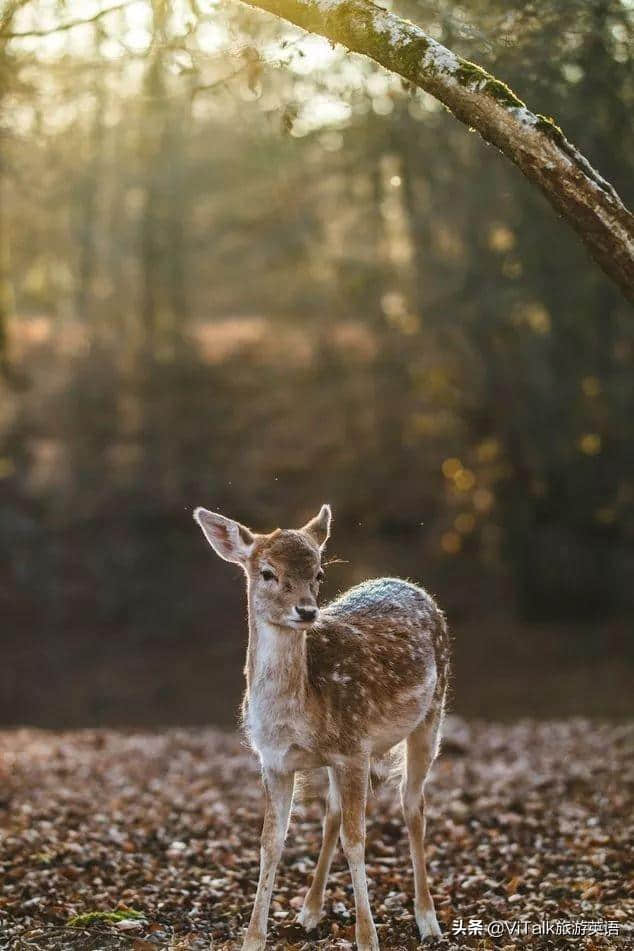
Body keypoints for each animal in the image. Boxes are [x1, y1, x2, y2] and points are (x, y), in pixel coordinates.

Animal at [194, 502, 450, 948]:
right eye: (267, 572)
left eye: (319, 574)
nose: (307, 610)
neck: (295, 717)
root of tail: (412, 586)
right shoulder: (274, 761)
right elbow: (271, 842)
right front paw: (253, 938)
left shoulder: (355, 748)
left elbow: (357, 840)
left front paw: (367, 938)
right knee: (331, 812)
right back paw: (309, 911)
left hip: (432, 713)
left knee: (413, 805)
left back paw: (428, 920)